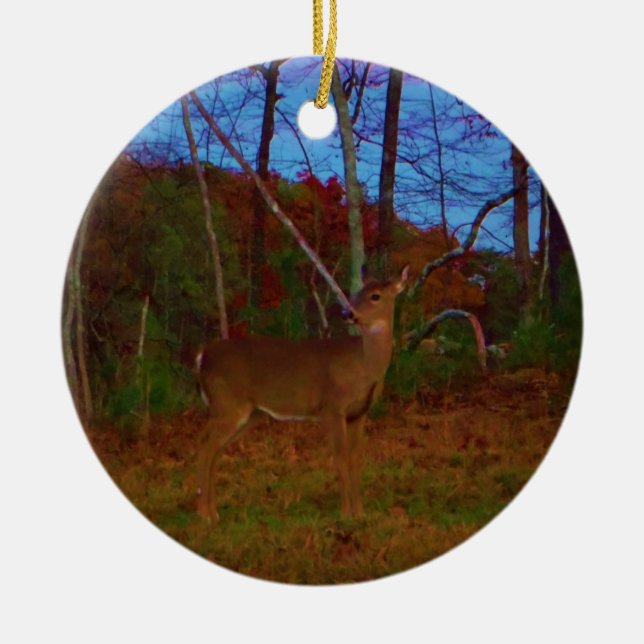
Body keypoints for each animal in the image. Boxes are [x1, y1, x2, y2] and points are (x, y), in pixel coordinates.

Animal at [194, 265, 410, 524]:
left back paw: (213, 512)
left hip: (247, 413)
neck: (364, 366)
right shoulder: (332, 407)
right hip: (227, 404)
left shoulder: (359, 413)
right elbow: (340, 457)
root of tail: (203, 356)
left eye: (375, 296)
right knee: (205, 445)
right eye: (356, 293)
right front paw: (346, 513)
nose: (347, 312)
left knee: (215, 448)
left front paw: (360, 512)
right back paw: (204, 514)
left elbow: (355, 459)